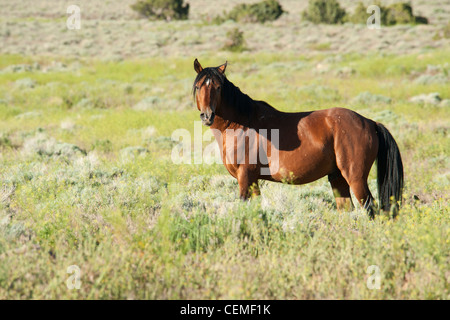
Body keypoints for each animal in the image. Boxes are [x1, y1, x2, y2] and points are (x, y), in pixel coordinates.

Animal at [192, 58, 402, 216]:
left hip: (355, 178)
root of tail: (369, 122)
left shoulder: (245, 177)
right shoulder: (253, 180)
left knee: (371, 209)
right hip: (337, 178)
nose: (207, 116)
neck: (241, 124)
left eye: (218, 87)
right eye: (198, 87)